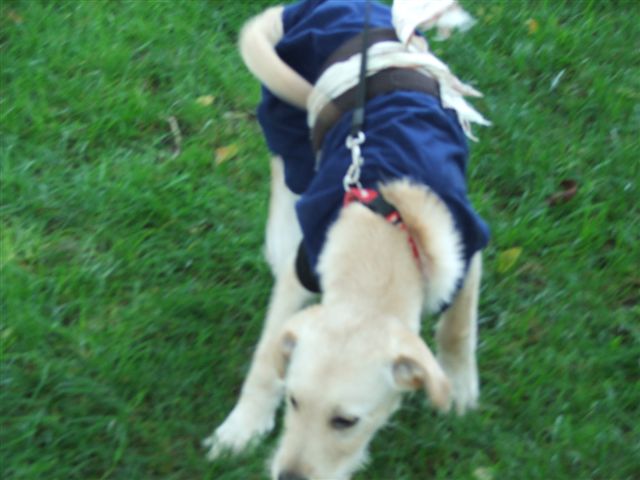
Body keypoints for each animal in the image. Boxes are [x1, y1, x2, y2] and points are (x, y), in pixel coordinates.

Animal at [203, 1, 490, 479]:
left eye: (346, 422)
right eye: (293, 401)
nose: (287, 477)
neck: (381, 240)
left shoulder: (466, 249)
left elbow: (458, 326)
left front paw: (460, 387)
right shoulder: (300, 277)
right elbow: (265, 357)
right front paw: (241, 427)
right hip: (284, 109)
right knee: (285, 168)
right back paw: (281, 235)